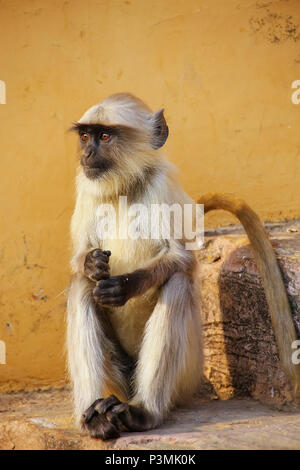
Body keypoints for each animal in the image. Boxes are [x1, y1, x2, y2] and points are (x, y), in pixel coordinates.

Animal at [68, 92, 300, 440]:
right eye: (85, 136)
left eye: (105, 137)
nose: (87, 152)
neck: (124, 188)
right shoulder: (86, 186)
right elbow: (79, 259)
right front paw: (92, 264)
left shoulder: (161, 186)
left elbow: (179, 258)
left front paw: (122, 286)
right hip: (118, 377)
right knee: (81, 286)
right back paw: (94, 415)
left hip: (188, 373)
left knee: (176, 283)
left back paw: (143, 412)